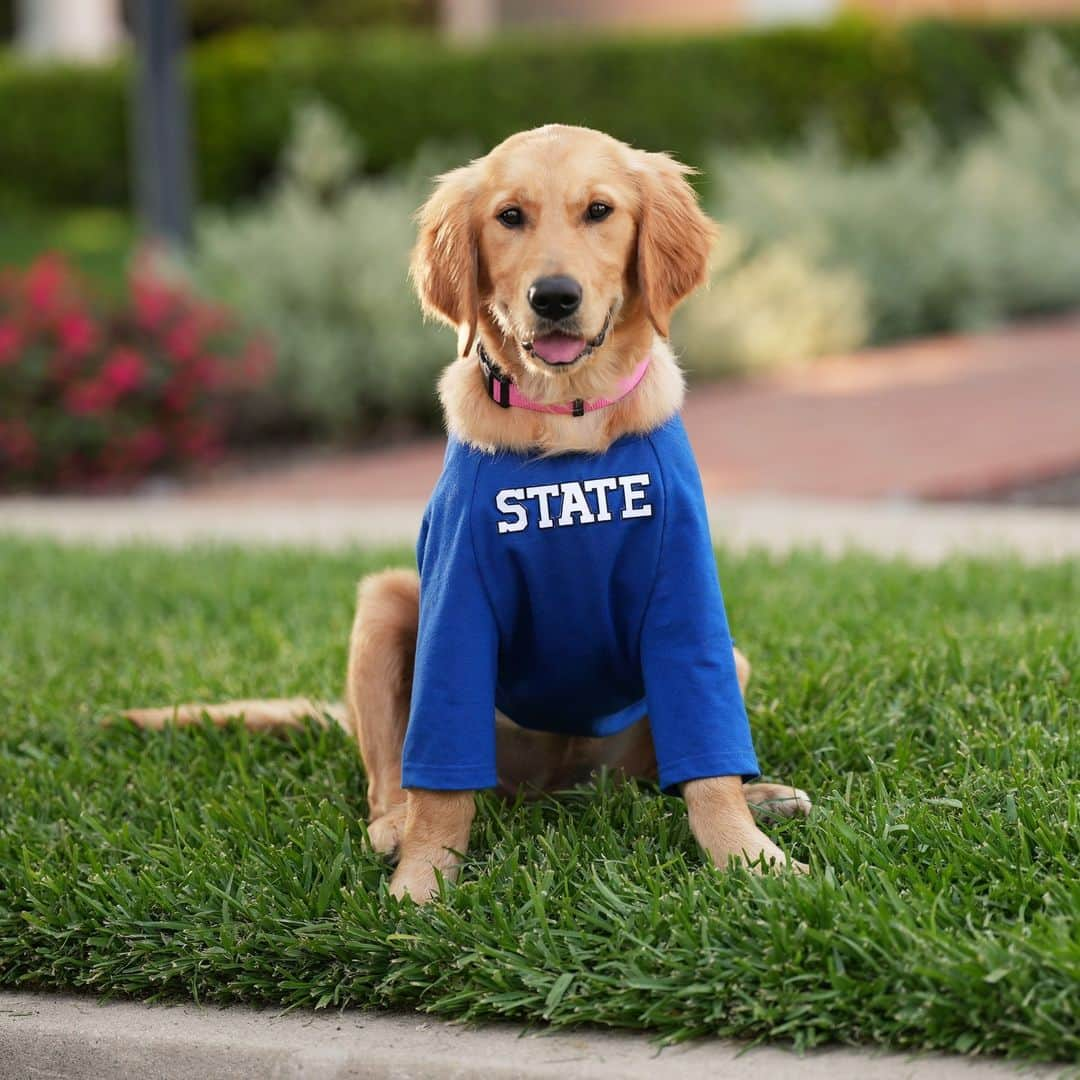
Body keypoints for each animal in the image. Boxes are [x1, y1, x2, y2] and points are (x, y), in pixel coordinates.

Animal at [124, 126, 812, 902]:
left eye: (600, 211)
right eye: (509, 217)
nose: (554, 297)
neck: (567, 417)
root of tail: (552, 787)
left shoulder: (685, 598)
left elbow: (708, 763)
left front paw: (750, 859)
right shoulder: (456, 602)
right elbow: (443, 786)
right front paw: (421, 884)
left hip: (721, 668)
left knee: (657, 775)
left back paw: (765, 796)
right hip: (389, 600)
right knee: (397, 775)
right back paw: (393, 826)